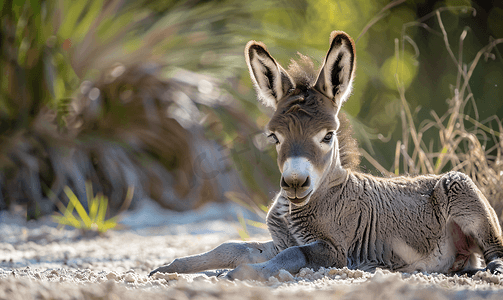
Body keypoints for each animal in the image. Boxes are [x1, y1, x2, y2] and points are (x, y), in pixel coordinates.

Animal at [150, 31, 503, 282]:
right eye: (274, 137)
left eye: (328, 136)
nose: (294, 183)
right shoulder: (279, 240)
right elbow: (234, 247)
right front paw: (172, 267)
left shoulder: (334, 250)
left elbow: (293, 255)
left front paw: (239, 274)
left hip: (463, 190)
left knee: (495, 251)